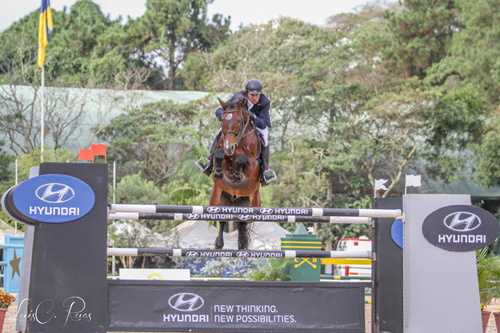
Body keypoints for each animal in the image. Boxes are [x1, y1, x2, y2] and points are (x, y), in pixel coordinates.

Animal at [209, 92, 262, 248]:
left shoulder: (252, 165)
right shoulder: (221, 156)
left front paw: (237, 175)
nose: (229, 147)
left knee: (242, 224)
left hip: (251, 208)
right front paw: (219, 173)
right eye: (222, 120)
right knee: (222, 221)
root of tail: (234, 199)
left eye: (239, 121)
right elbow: (219, 156)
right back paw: (219, 243)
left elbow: (241, 159)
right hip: (217, 202)